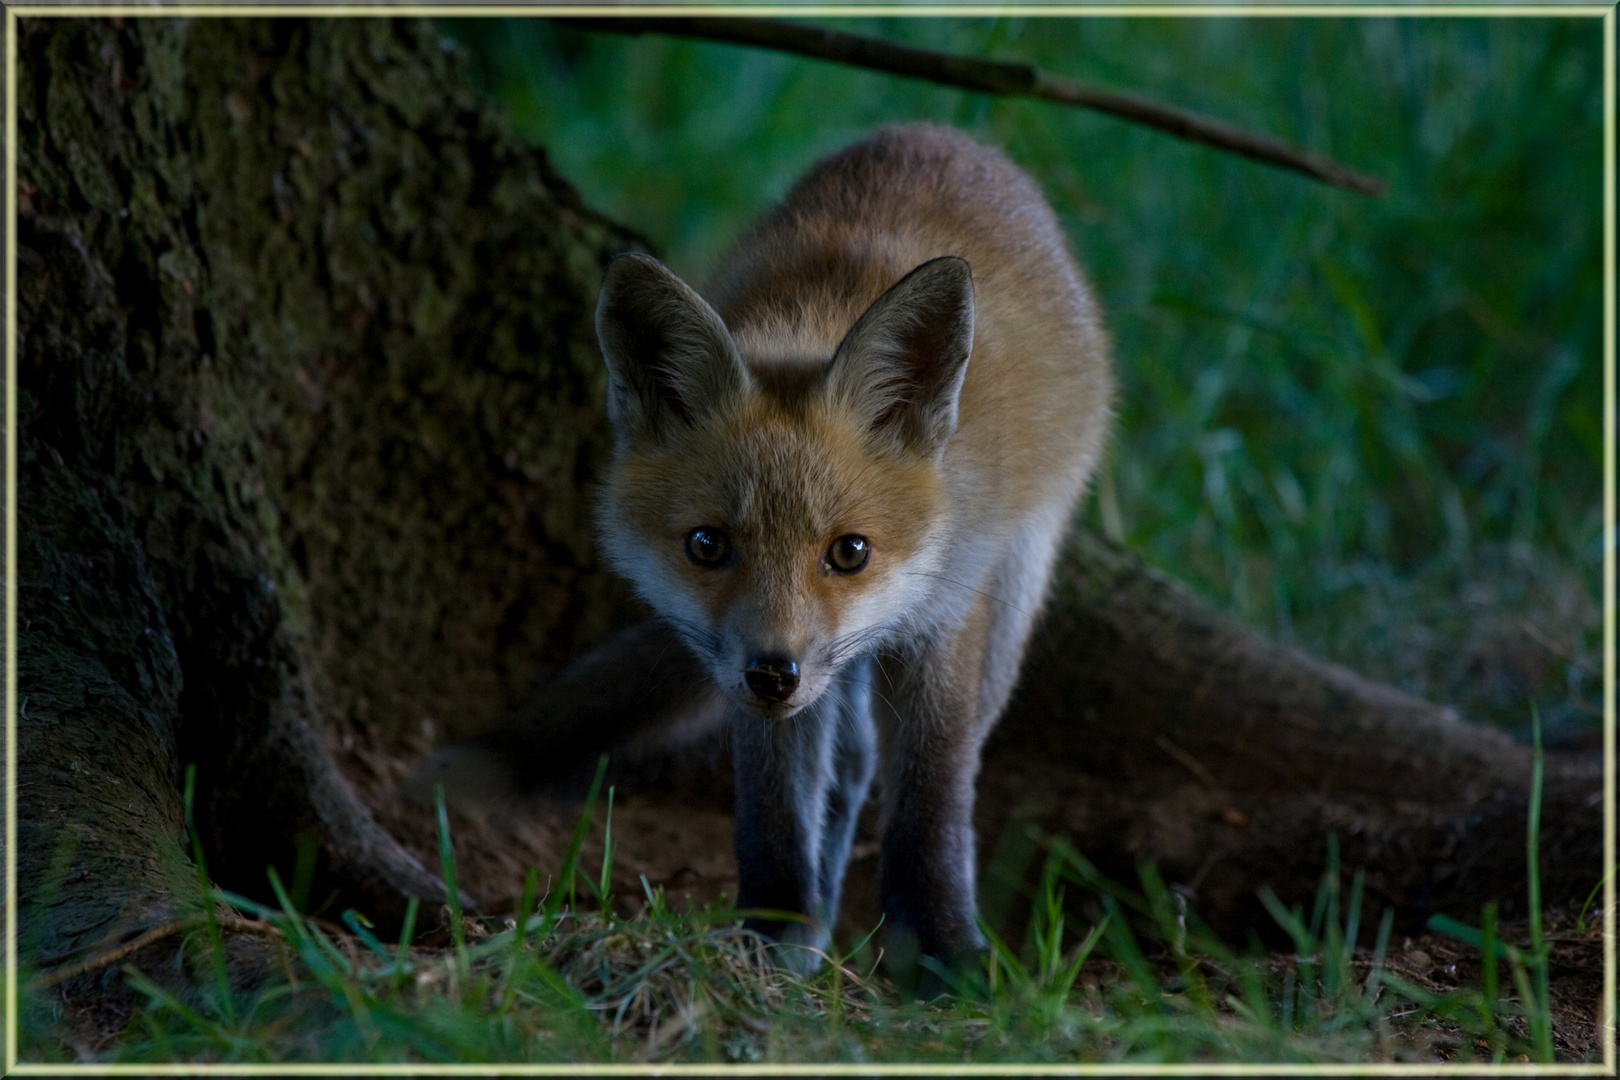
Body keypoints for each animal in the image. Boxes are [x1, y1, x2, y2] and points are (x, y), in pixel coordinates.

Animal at [424, 124, 1114, 971]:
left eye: (850, 551)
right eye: (706, 543)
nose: (773, 673)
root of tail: (943, 134)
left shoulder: (946, 612)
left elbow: (933, 795)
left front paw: (942, 953)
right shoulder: (750, 668)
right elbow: (775, 805)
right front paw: (776, 935)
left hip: (1013, 586)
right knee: (847, 769)